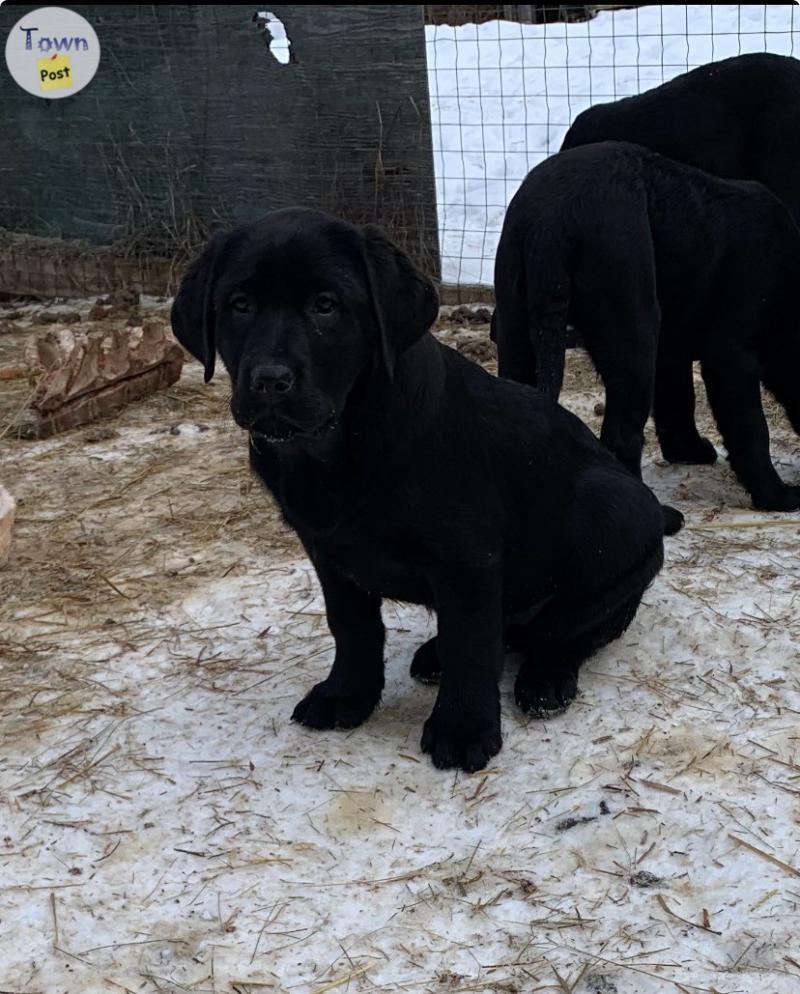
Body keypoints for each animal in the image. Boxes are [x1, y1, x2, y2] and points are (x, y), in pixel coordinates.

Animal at [490, 143, 800, 516]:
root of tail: (554, 218)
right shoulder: (731, 354)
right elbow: (750, 426)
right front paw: (779, 495)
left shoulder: (671, 348)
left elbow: (677, 399)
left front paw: (689, 451)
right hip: (632, 324)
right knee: (623, 433)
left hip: (516, 322)